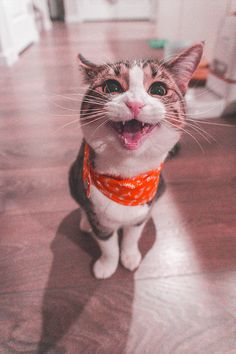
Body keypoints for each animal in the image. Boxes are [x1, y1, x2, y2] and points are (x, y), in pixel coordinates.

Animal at [68, 42, 203, 280]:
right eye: (111, 86)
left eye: (159, 90)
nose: (135, 104)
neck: (127, 178)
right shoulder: (98, 215)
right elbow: (107, 243)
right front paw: (107, 265)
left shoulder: (141, 210)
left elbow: (132, 235)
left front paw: (129, 256)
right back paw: (84, 222)